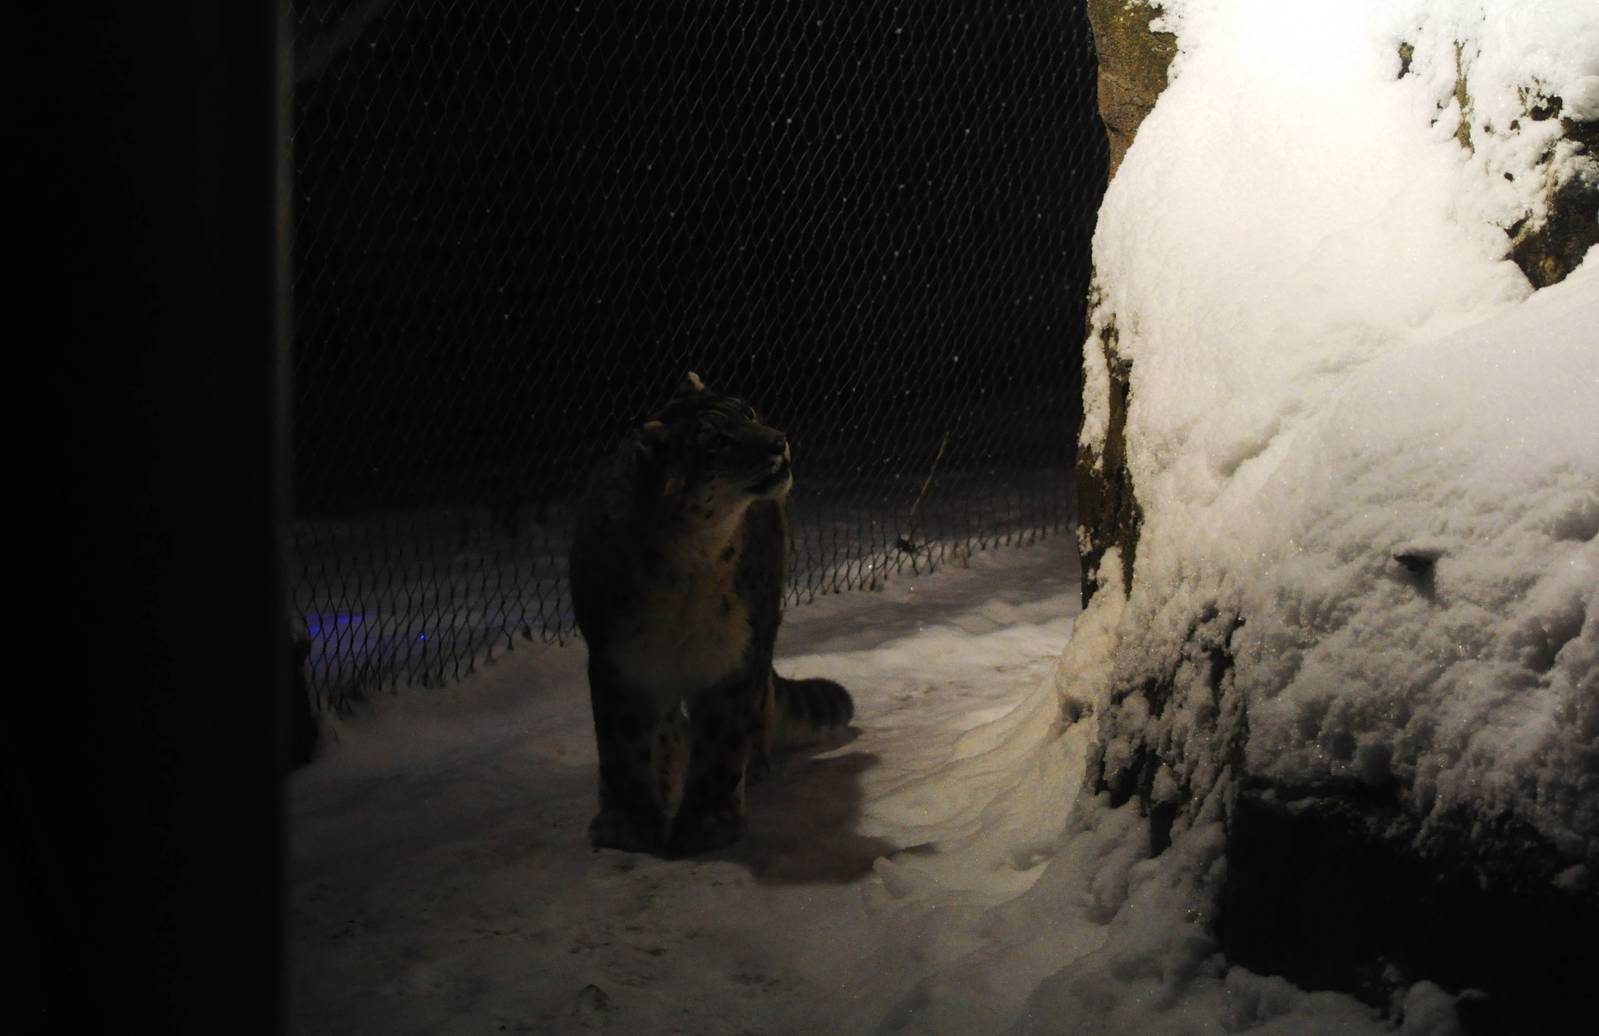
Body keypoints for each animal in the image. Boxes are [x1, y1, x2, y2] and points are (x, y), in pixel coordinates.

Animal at [570, 372, 854, 855]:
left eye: (750, 412)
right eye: (717, 441)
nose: (778, 441)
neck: (689, 563)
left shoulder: (731, 653)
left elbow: (721, 739)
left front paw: (708, 823)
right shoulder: (621, 660)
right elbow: (624, 743)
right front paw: (629, 826)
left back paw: (752, 768)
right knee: (667, 725)